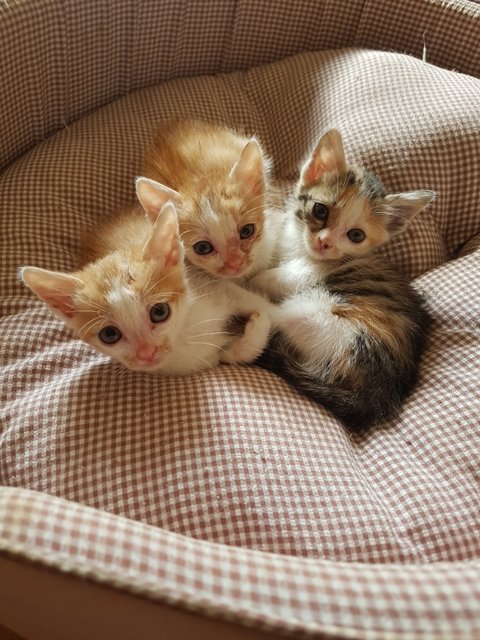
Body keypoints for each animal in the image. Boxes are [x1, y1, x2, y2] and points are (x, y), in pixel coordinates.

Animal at [20, 178, 275, 374]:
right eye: (109, 334)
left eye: (159, 312)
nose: (147, 353)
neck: (184, 335)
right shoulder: (206, 360)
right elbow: (233, 356)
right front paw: (252, 332)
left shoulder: (213, 285)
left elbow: (265, 310)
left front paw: (265, 316)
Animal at [250, 129, 436, 430]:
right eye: (320, 210)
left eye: (356, 235)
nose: (324, 243)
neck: (299, 248)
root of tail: (374, 396)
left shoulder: (311, 273)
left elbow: (273, 278)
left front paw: (252, 276)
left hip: (322, 318)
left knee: (272, 316)